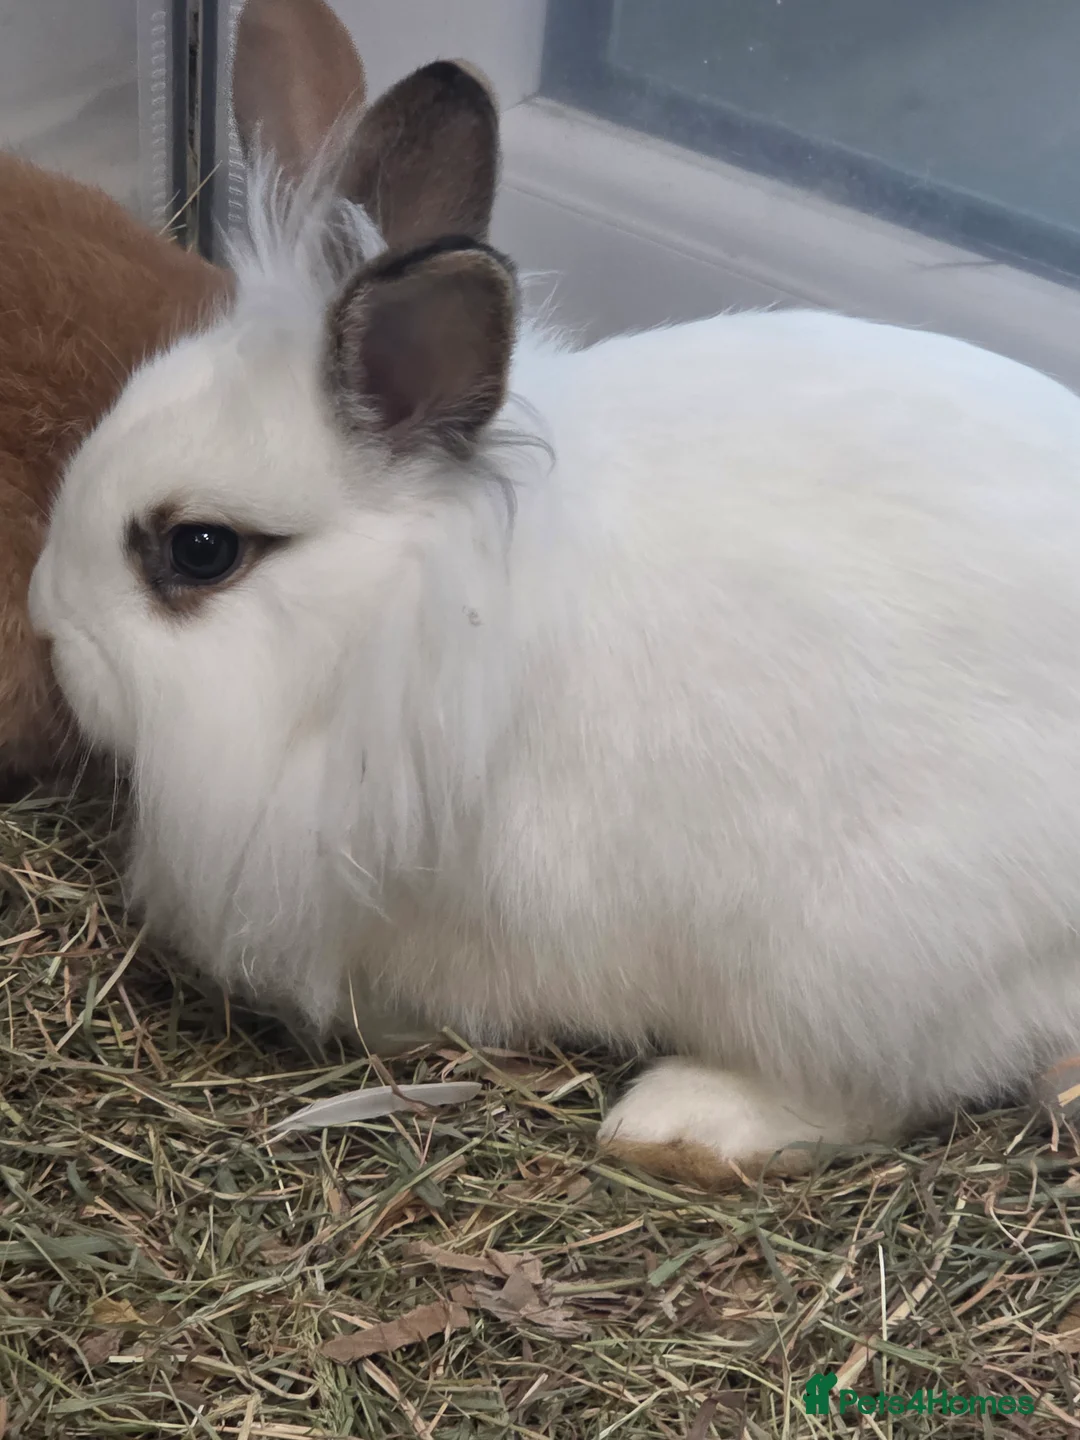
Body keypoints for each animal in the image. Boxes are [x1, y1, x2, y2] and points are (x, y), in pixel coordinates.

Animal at [30, 0, 1080, 1189]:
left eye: (199, 550)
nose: (48, 630)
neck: (407, 624)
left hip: (852, 954)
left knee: (879, 1089)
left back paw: (677, 1125)